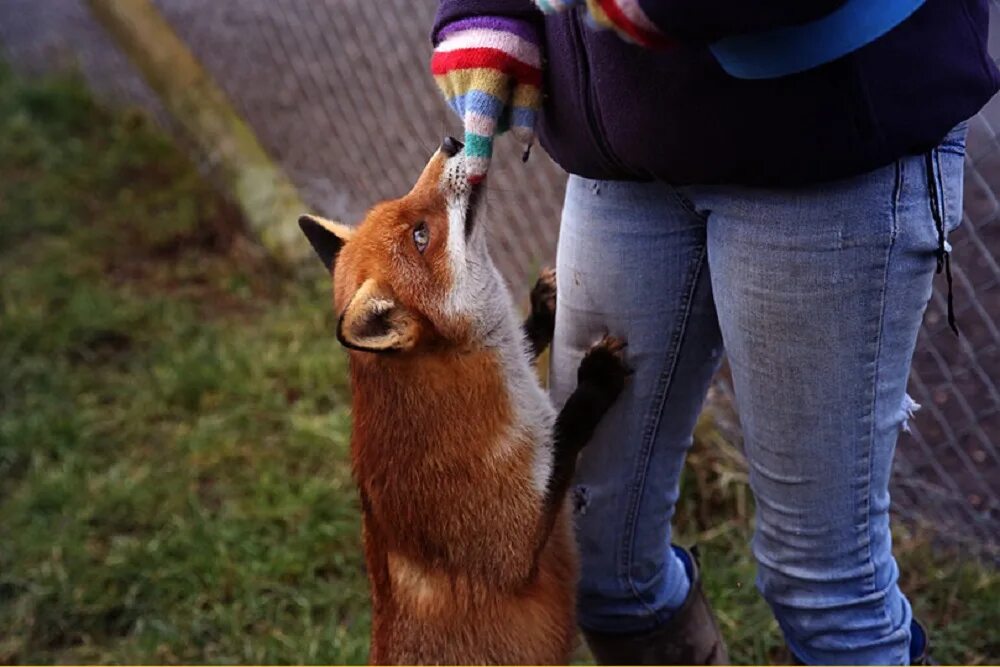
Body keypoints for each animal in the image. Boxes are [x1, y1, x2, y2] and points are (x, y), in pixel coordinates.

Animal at [298, 138, 624, 664]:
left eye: (403, 203)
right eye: (421, 236)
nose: (452, 142)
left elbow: (528, 340)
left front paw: (544, 306)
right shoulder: (513, 542)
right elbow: (567, 432)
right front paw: (596, 382)